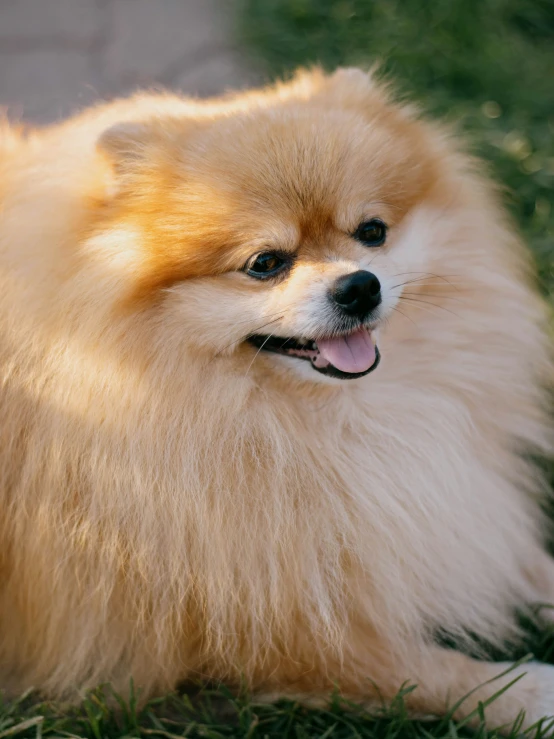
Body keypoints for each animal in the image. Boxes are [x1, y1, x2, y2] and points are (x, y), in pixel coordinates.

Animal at [1, 69, 552, 736]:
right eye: (265, 263)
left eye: (372, 231)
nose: (358, 285)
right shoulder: (255, 623)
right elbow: (428, 671)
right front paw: (532, 693)